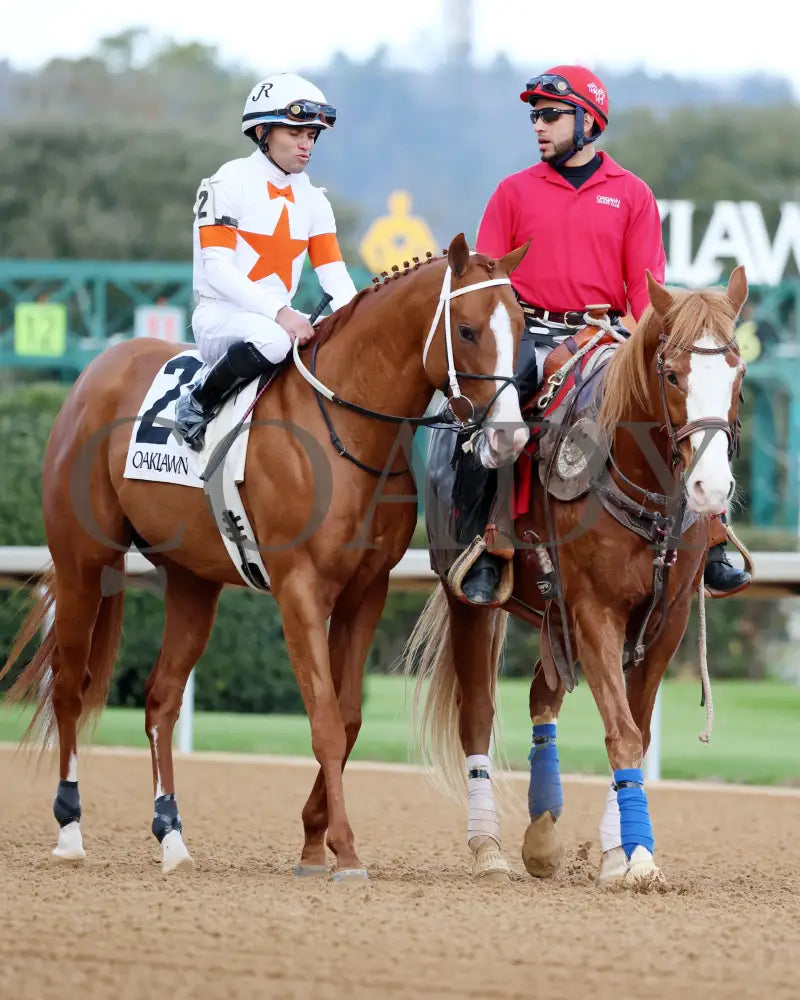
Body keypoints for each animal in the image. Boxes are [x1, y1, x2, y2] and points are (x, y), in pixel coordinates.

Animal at [6, 236, 536, 884]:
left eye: (522, 329)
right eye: (466, 329)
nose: (511, 436)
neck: (343, 436)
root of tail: (96, 371)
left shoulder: (365, 591)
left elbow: (348, 716)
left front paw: (316, 844)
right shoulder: (300, 591)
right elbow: (326, 720)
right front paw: (345, 852)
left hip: (192, 582)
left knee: (160, 697)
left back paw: (172, 837)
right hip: (85, 562)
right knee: (68, 688)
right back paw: (70, 829)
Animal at [406, 266, 752, 884]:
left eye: (737, 373)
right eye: (671, 374)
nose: (710, 489)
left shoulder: (666, 621)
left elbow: (636, 726)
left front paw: (622, 853)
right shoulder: (595, 610)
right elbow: (623, 732)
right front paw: (640, 859)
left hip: (554, 616)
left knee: (542, 701)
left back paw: (545, 835)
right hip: (469, 601)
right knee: (477, 716)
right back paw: (488, 847)